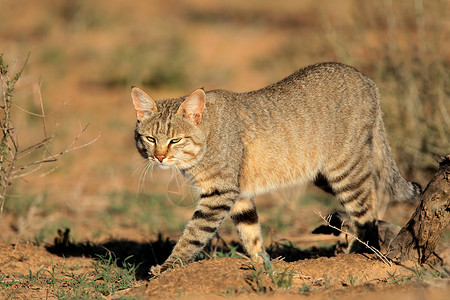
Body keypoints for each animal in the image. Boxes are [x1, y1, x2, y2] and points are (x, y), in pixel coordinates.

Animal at [131, 62, 422, 274]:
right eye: (150, 139)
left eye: (175, 140)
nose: (159, 157)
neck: (206, 137)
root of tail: (367, 80)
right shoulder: (239, 195)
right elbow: (251, 234)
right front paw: (263, 267)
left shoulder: (219, 194)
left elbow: (193, 234)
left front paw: (169, 266)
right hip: (322, 174)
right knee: (367, 201)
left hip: (345, 169)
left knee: (368, 206)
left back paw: (361, 253)